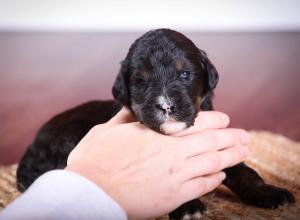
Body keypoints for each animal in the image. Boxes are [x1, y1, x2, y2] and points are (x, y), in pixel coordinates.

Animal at [15, 28, 292, 218]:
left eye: (185, 74)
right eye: (140, 81)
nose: (166, 106)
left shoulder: (218, 148)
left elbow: (246, 174)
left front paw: (271, 194)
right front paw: (188, 206)